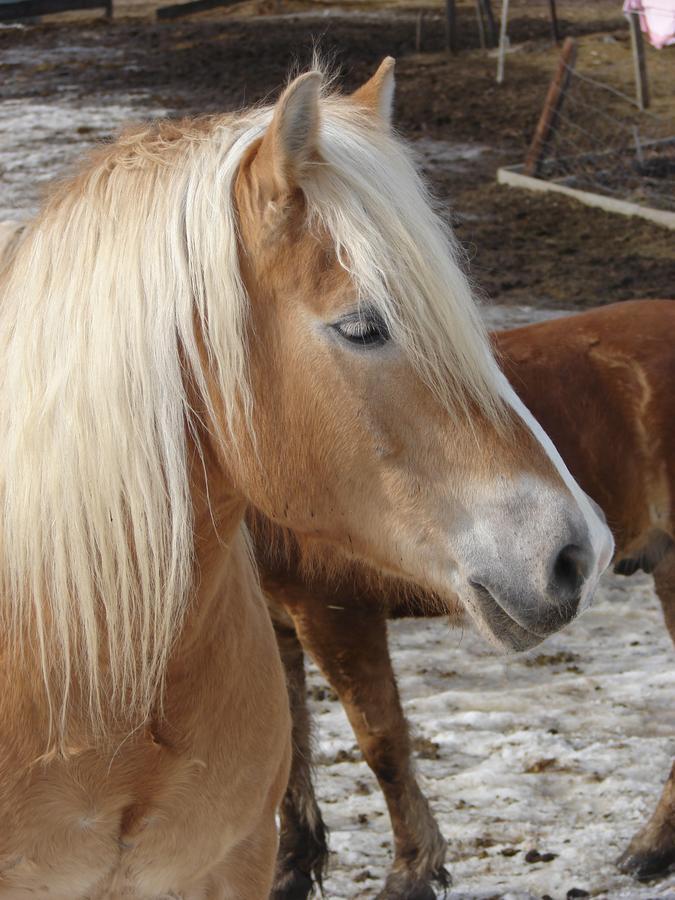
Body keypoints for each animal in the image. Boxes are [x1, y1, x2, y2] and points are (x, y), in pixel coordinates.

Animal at [255, 300, 675, 900]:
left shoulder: (334, 616)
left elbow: (383, 745)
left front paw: (413, 870)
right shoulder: (273, 620)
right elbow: (290, 748)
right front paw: (291, 869)